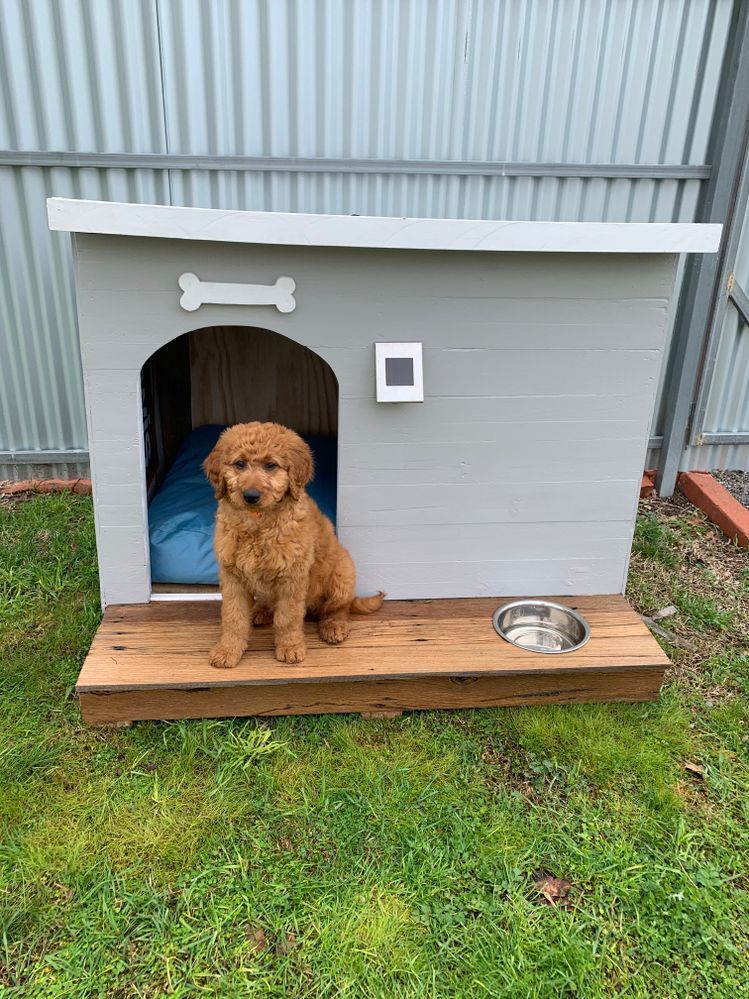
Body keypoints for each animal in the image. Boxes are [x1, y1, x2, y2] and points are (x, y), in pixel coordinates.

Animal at [202, 420, 382, 664]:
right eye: (239, 464)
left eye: (271, 466)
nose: (250, 496)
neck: (257, 521)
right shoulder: (232, 576)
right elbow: (233, 617)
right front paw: (227, 650)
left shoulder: (292, 576)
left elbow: (287, 617)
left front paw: (290, 647)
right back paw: (260, 611)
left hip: (342, 574)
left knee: (338, 608)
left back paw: (333, 626)